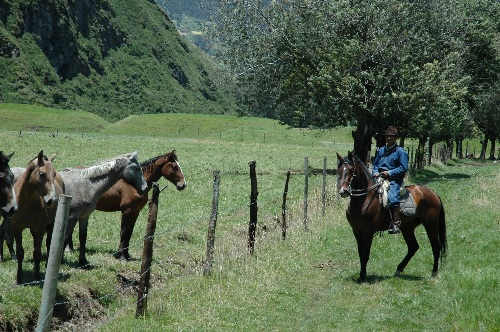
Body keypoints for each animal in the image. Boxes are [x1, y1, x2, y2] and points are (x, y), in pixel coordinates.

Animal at [9, 150, 64, 282]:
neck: (25, 202)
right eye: (42, 173)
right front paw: (19, 277)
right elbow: (20, 252)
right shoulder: (16, 228)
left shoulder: (40, 228)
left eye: (54, 174)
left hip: (51, 224)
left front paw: (37, 277)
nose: (52, 200)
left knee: (48, 242)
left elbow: (37, 253)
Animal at [338, 152, 448, 282]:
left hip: (430, 225)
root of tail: (433, 194)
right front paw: (361, 276)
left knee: (436, 246)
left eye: (351, 170)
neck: (364, 200)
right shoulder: (357, 232)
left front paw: (363, 277)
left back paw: (434, 272)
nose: (343, 191)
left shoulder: (368, 232)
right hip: (407, 228)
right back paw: (398, 269)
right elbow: (361, 254)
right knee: (413, 247)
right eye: (339, 170)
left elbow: (365, 255)